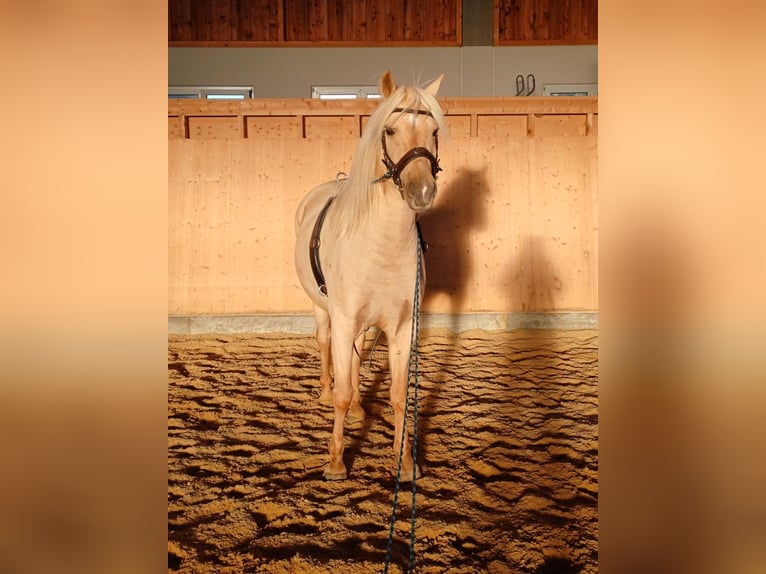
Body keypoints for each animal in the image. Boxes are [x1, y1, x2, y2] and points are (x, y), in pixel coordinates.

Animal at [296, 71, 450, 482]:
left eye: (434, 130)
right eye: (391, 130)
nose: (421, 191)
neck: (381, 246)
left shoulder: (401, 327)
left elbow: (398, 395)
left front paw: (406, 462)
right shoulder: (344, 317)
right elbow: (342, 391)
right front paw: (336, 462)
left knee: (355, 356)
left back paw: (359, 410)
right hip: (323, 310)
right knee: (325, 346)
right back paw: (324, 392)